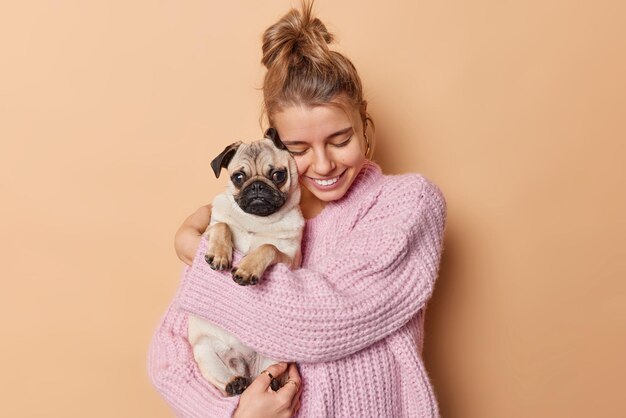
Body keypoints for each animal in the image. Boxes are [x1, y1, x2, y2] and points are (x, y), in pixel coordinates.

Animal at [185, 129, 302, 396]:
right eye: (239, 177)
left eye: (278, 175)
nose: (257, 186)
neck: (257, 221)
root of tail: (244, 366)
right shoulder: (209, 229)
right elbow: (222, 225)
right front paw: (219, 254)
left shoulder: (289, 259)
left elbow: (267, 247)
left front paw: (247, 269)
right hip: (204, 352)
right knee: (225, 383)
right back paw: (235, 382)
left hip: (274, 355)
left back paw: (272, 382)